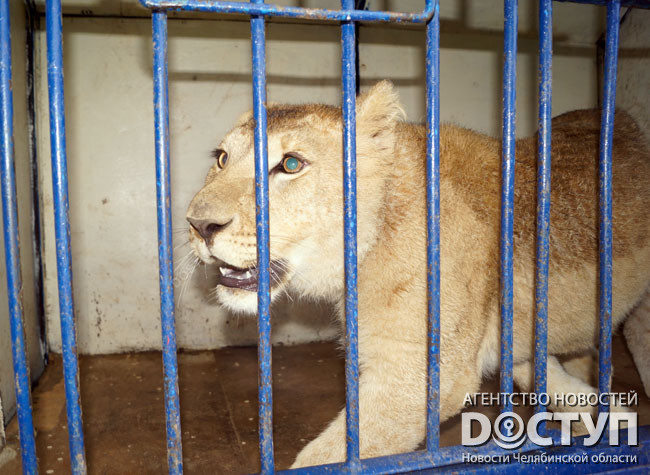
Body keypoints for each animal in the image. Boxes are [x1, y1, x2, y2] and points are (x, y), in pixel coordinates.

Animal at [185, 81, 650, 468]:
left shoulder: (420, 373)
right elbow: (534, 367)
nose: (198, 225)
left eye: (292, 164)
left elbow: (330, 458)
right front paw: (603, 414)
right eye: (221, 159)